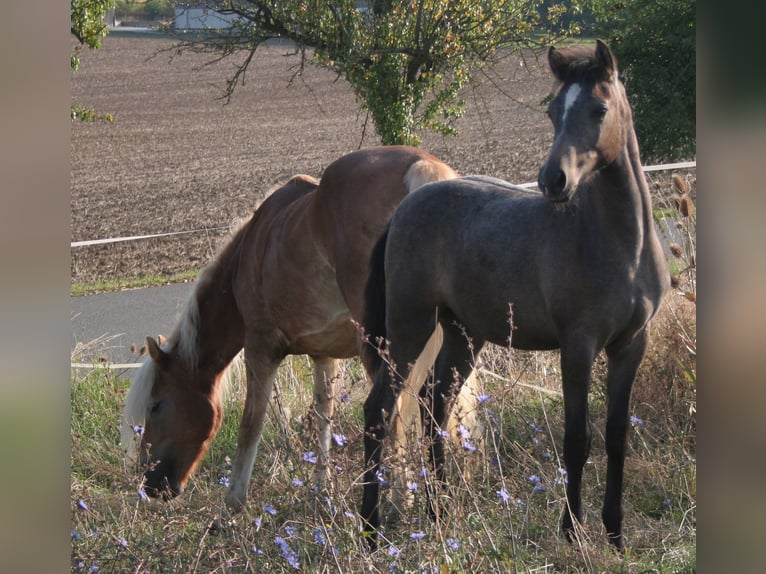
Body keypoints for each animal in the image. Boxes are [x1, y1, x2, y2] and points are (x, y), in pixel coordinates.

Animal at [120, 146, 480, 516]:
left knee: (392, 413)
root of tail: (422, 170)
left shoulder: (260, 350)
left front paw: (231, 505)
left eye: (156, 406)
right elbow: (323, 419)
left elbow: (250, 425)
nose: (149, 484)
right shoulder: (325, 356)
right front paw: (323, 492)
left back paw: (398, 500)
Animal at [364, 41, 668, 552]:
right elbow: (577, 439)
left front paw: (615, 533)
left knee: (433, 404)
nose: (553, 180)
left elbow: (616, 435)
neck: (621, 244)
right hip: (409, 325)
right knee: (380, 409)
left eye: (599, 108)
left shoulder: (630, 345)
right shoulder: (577, 346)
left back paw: (438, 512)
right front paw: (572, 531)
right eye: (552, 110)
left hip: (463, 333)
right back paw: (370, 529)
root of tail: (402, 210)